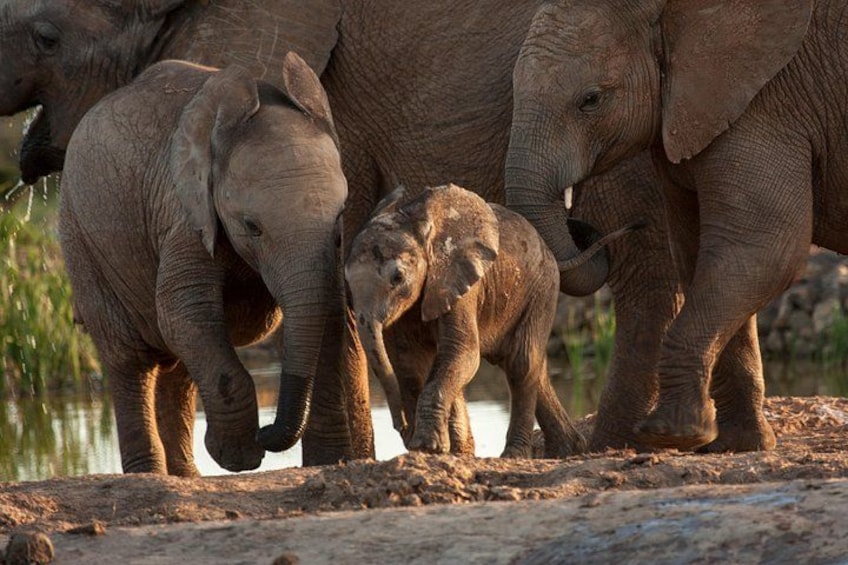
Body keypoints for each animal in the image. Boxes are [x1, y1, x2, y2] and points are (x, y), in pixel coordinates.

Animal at [57, 53, 348, 475]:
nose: (267, 431)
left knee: (177, 362)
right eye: (252, 226)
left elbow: (332, 309)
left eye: (341, 216)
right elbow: (183, 309)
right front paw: (239, 457)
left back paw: (185, 476)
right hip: (80, 239)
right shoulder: (184, 214)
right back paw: (150, 476)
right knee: (130, 359)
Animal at [344, 184, 647, 457]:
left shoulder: (461, 281)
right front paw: (439, 449)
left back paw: (515, 455)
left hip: (542, 287)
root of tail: (550, 251)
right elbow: (410, 361)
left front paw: (427, 447)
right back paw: (566, 451)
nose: (402, 427)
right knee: (533, 364)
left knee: (520, 362)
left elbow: (463, 353)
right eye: (346, 282)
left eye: (397, 278)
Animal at [505, 0, 837, 451]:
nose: (586, 225)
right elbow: (702, 254)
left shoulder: (767, 103)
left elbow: (765, 249)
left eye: (591, 100)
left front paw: (671, 433)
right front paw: (736, 444)